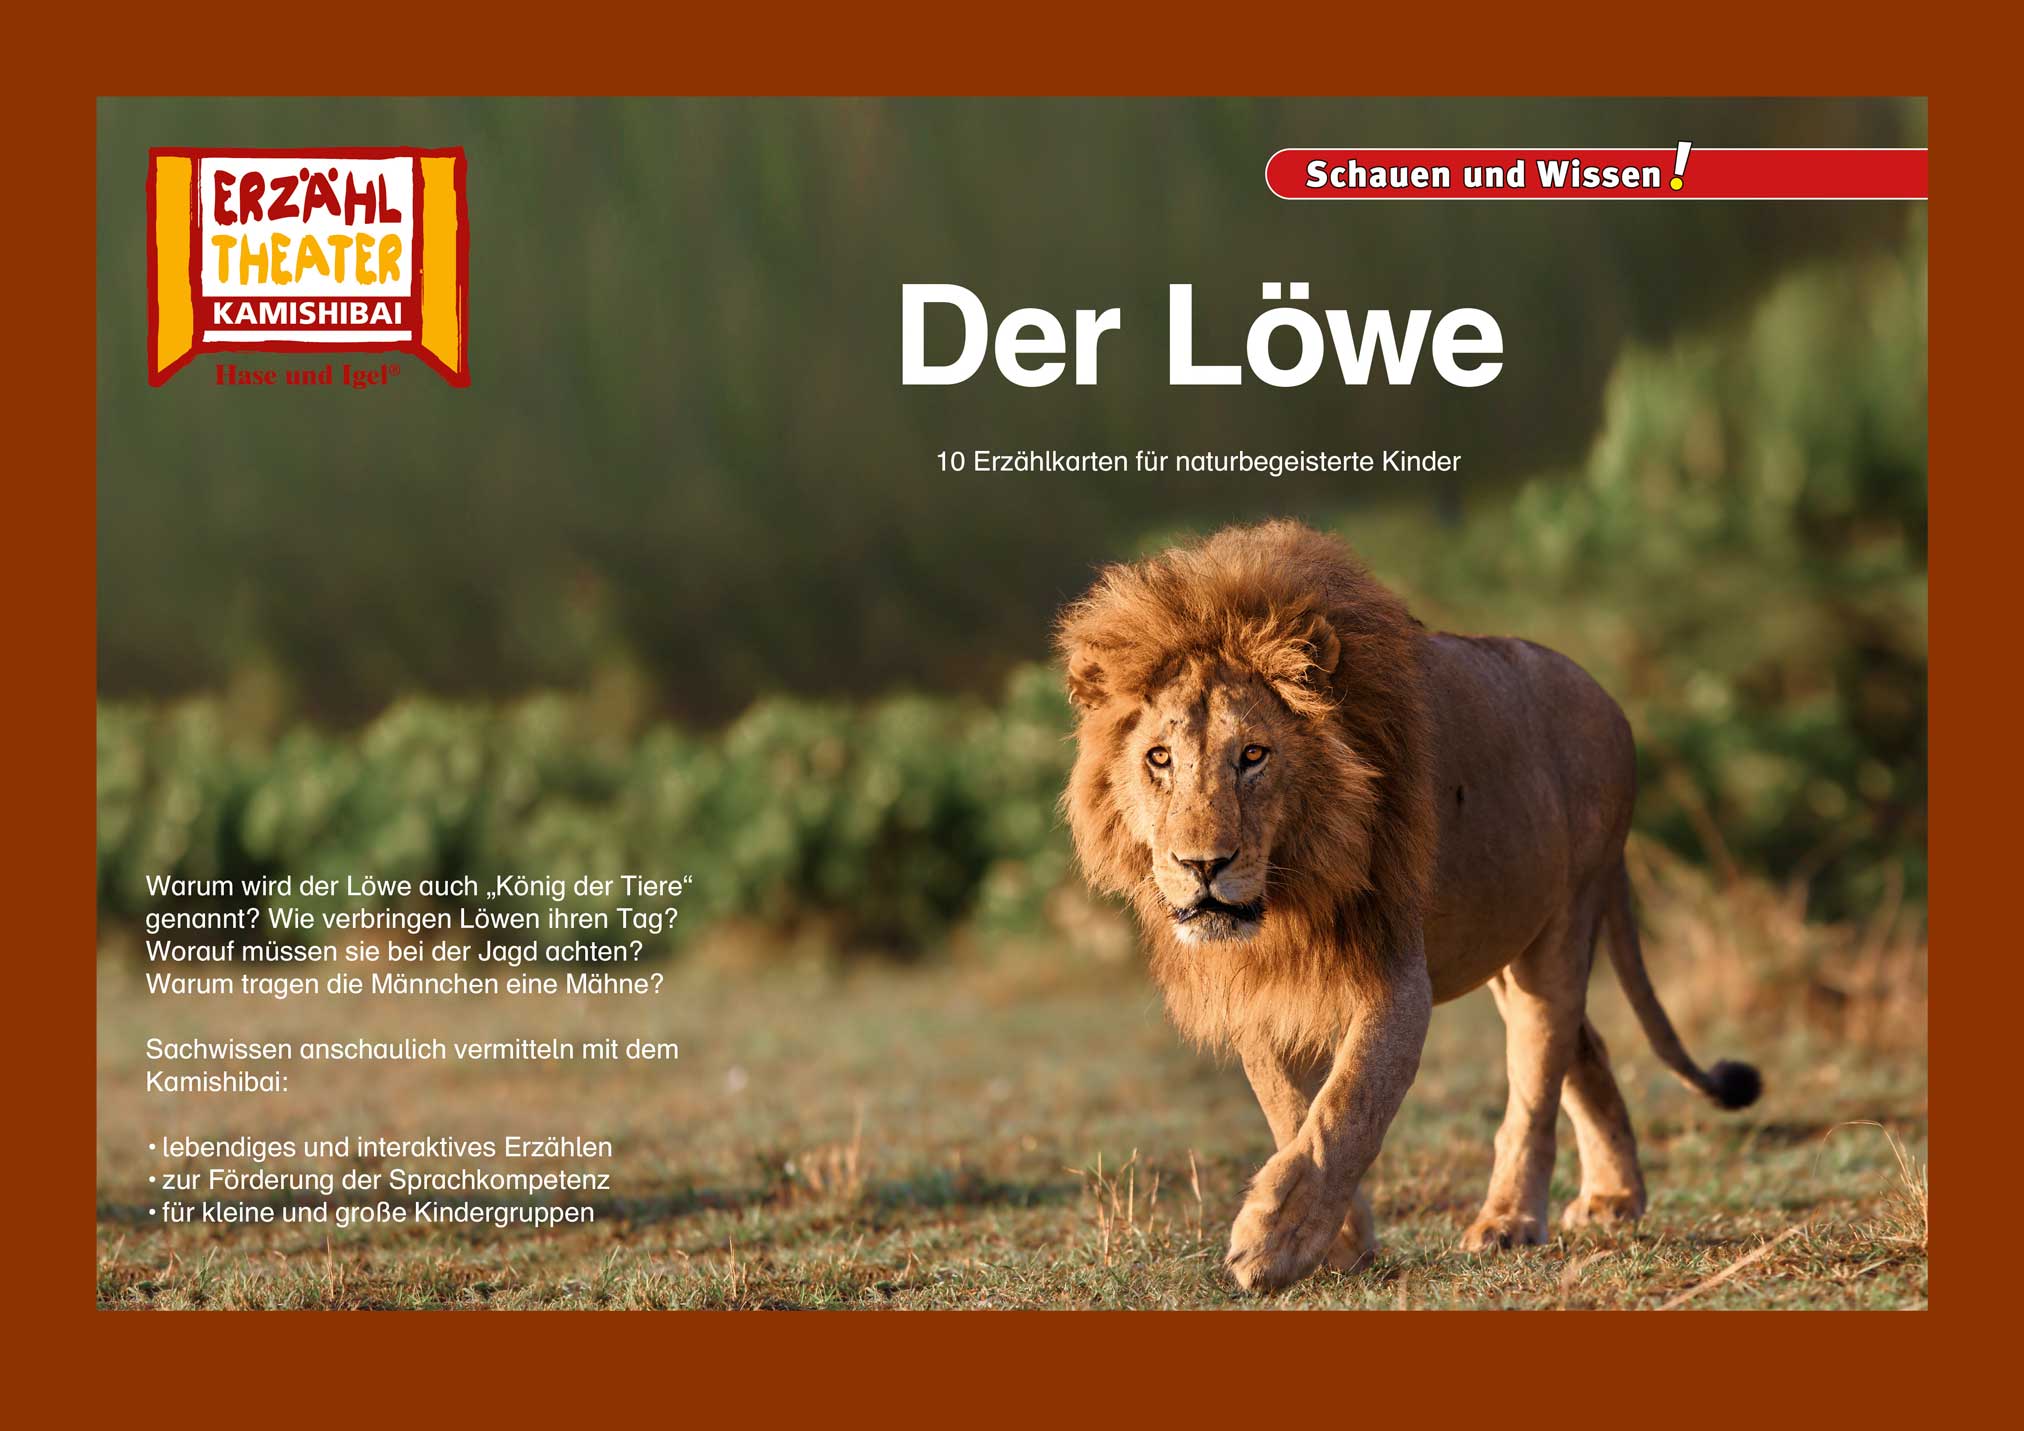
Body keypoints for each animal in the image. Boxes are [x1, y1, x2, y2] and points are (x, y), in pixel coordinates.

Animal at [1056, 519, 1760, 1293]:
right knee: (1585, 1046)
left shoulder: (1396, 973)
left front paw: (1275, 1241)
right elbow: (1291, 1109)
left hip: (1563, 921)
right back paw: (1615, 1196)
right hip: (1504, 943)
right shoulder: (1258, 986)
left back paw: (1510, 1220)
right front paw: (1338, 1243)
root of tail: (1607, 698)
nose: (1201, 865)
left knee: (1536, 1080)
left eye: (1253, 755)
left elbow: (1347, 1105)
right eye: (1158, 758)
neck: (1291, 895)